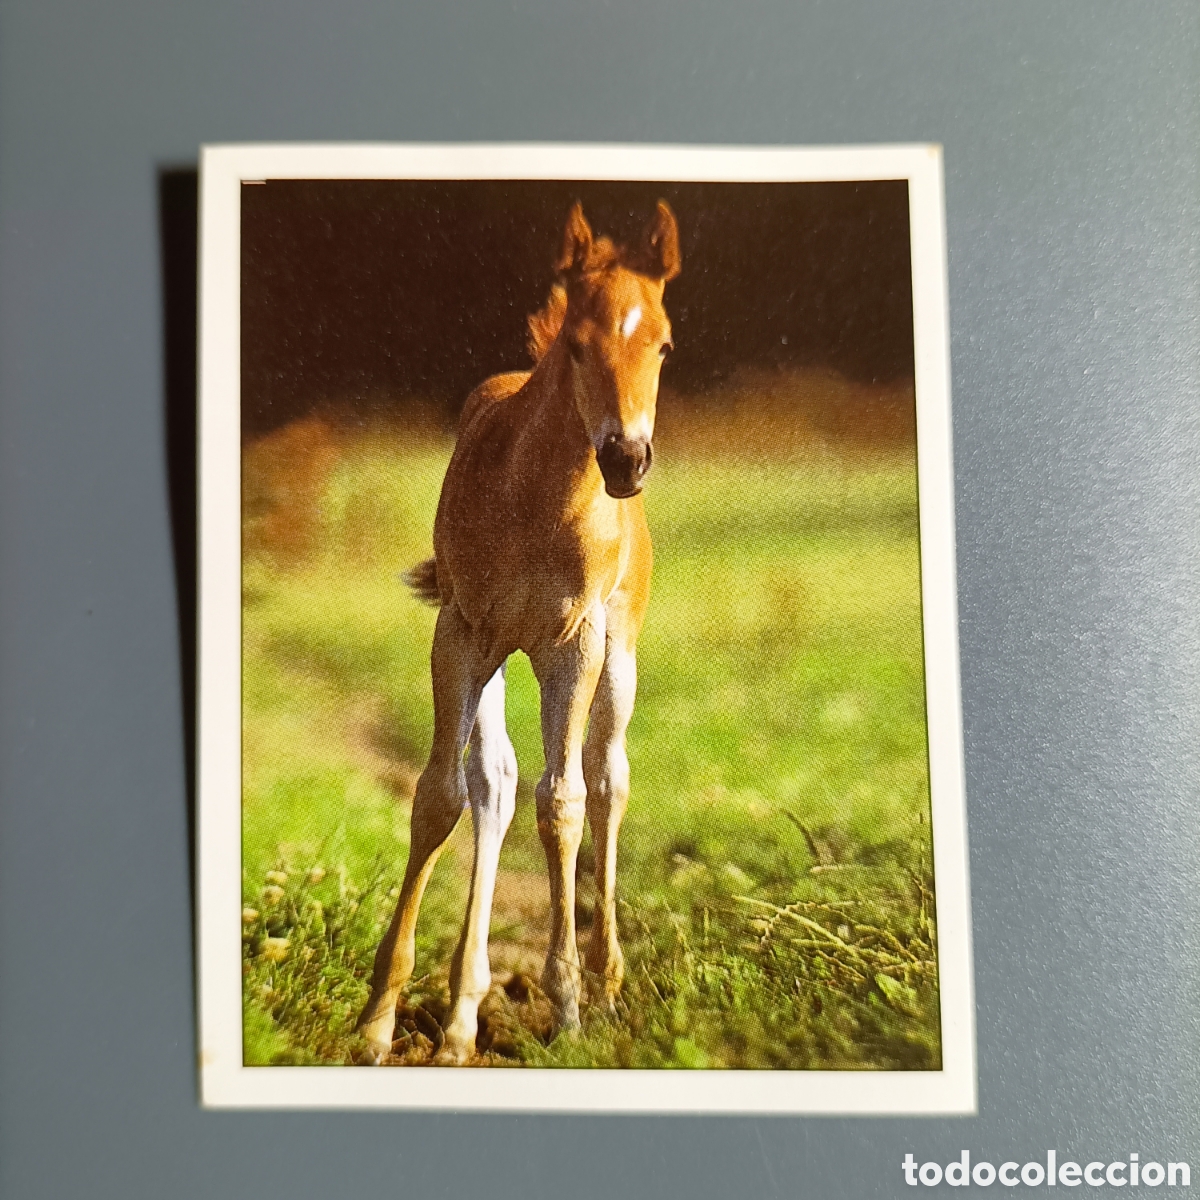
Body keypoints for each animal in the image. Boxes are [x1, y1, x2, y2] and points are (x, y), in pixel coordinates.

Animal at [355, 200, 681, 1064]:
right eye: (577, 344)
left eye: (663, 344)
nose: (626, 457)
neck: (538, 495)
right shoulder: (464, 633)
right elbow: (442, 795)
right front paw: (377, 1019)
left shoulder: (574, 644)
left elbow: (562, 801)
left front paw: (564, 1003)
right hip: (501, 656)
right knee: (494, 782)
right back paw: (463, 1016)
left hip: (620, 656)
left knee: (607, 779)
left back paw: (605, 981)